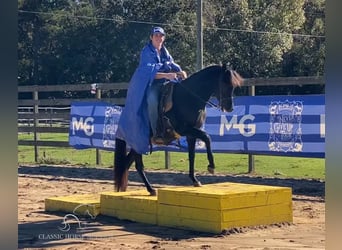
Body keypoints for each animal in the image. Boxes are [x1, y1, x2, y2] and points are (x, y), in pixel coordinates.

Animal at [115, 64, 243, 195]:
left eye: (233, 85)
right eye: (224, 83)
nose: (230, 108)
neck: (188, 98)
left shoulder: (192, 134)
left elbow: (192, 156)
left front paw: (195, 180)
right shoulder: (185, 129)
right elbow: (207, 137)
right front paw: (211, 166)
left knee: (126, 164)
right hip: (139, 141)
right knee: (138, 166)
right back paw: (151, 189)